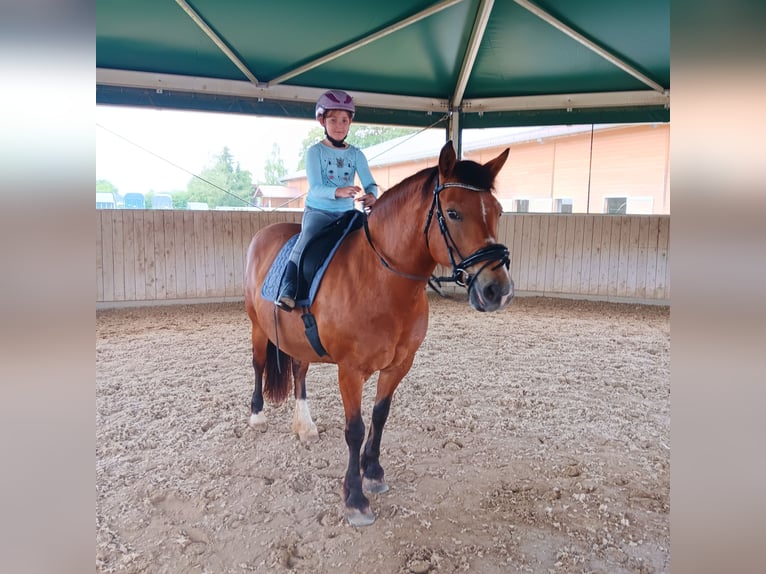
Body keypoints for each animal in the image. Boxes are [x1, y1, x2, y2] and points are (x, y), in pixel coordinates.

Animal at [244, 140, 514, 526]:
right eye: (453, 213)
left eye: (498, 212)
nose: (497, 291)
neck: (380, 278)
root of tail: (265, 234)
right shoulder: (350, 371)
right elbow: (355, 429)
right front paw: (355, 497)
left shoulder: (399, 365)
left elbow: (379, 416)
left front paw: (373, 471)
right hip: (256, 325)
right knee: (258, 364)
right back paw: (257, 415)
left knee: (299, 371)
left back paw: (305, 427)